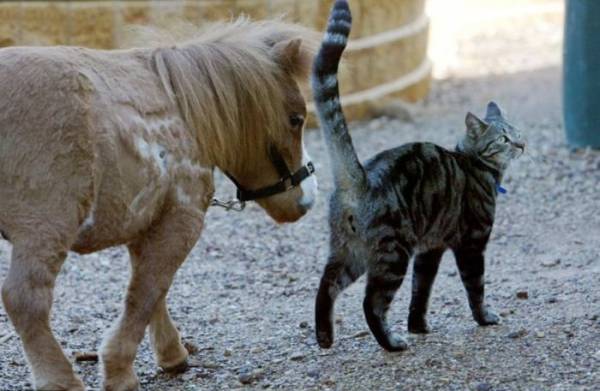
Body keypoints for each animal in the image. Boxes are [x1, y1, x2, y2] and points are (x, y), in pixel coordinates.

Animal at [0, 18, 318, 391]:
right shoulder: (183, 219)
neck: (182, 107)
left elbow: (151, 286)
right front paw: (120, 370)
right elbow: (147, 291)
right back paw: (60, 380)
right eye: (295, 118)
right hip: (44, 231)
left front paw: (170, 353)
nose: (307, 198)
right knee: (26, 300)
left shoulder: (148, 221)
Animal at [312, 0, 524, 352]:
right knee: (371, 303)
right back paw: (391, 343)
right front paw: (484, 318)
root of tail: (360, 179)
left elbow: (420, 292)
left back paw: (325, 337)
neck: (475, 163)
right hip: (393, 254)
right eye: (504, 139)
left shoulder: (430, 250)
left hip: (349, 252)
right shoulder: (472, 243)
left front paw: (418, 326)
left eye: (518, 133)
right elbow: (475, 287)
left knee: (326, 286)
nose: (521, 144)